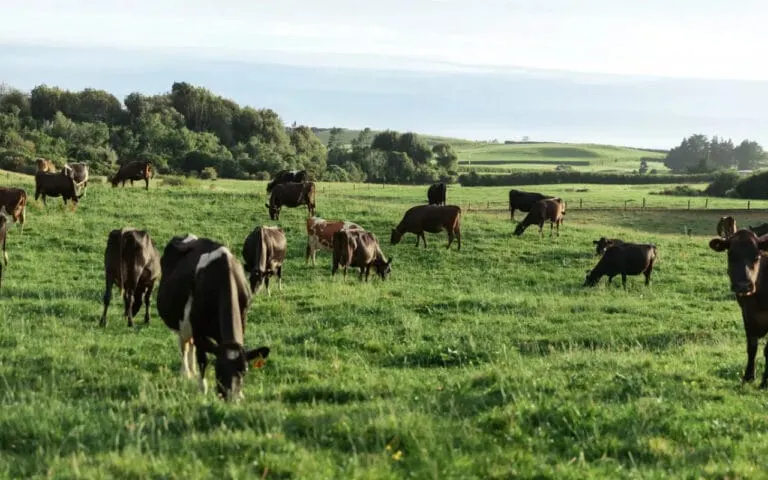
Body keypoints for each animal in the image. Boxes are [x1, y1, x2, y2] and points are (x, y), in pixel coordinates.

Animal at [156, 234, 270, 401]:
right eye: (218, 368)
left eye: (244, 370)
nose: (231, 397)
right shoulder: (197, 327)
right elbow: (203, 359)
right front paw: (202, 389)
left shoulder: (242, 320)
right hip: (181, 322)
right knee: (184, 346)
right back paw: (186, 373)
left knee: (190, 346)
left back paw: (192, 371)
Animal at [709, 229, 768, 388]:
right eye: (731, 255)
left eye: (757, 257)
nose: (743, 285)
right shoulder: (747, 314)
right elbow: (752, 347)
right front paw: (748, 376)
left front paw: (765, 382)